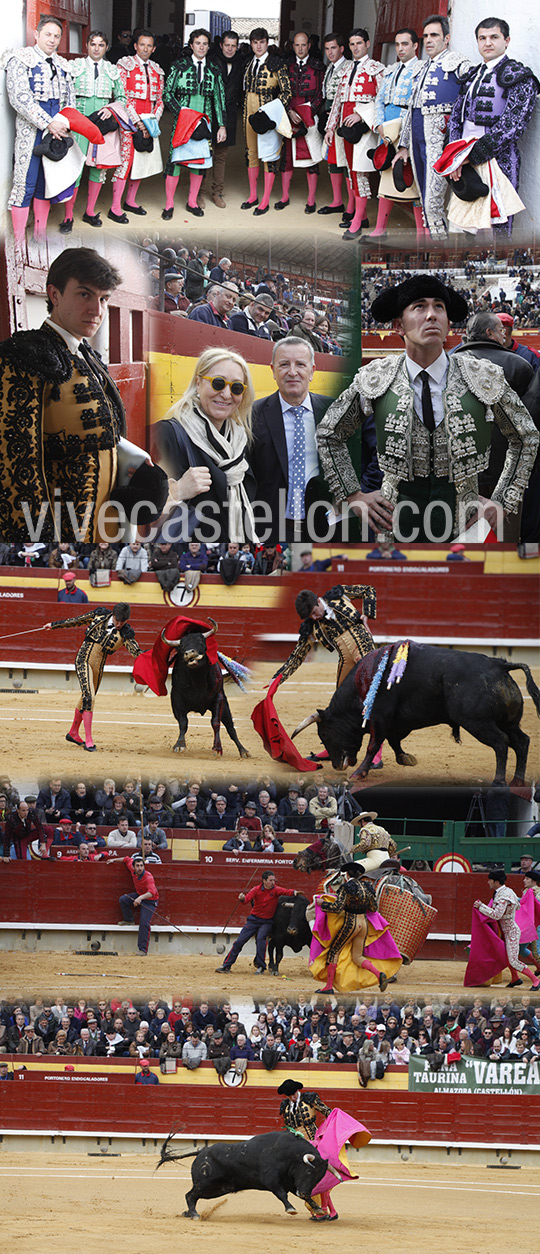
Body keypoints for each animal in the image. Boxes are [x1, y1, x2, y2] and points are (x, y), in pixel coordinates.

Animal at [156, 1128, 330, 1213]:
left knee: (193, 1196)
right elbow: (281, 1194)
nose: (305, 1191)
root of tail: (202, 1152)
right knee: (190, 1195)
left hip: (215, 1189)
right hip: (205, 1184)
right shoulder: (271, 1180)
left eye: (319, 1178)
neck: (289, 1155)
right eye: (308, 1172)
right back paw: (193, 1215)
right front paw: (291, 1209)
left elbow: (303, 1197)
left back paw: (189, 1213)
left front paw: (318, 1208)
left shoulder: (292, 1183)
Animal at [166, 624, 249, 757]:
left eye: (201, 642)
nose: (189, 653)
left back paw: (243, 751)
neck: (197, 678)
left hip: (225, 707)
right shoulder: (177, 699)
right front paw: (180, 745)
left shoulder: (218, 698)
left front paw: (217, 748)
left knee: (230, 728)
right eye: (182, 646)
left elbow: (215, 722)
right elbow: (183, 722)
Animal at [294, 647, 538, 782]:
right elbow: (393, 741)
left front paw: (360, 773)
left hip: (478, 722)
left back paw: (499, 781)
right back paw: (517, 781)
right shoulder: (396, 722)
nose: (336, 765)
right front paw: (405, 758)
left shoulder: (380, 718)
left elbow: (374, 744)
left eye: (325, 735)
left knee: (501, 743)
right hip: (507, 722)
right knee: (521, 741)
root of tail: (499, 665)